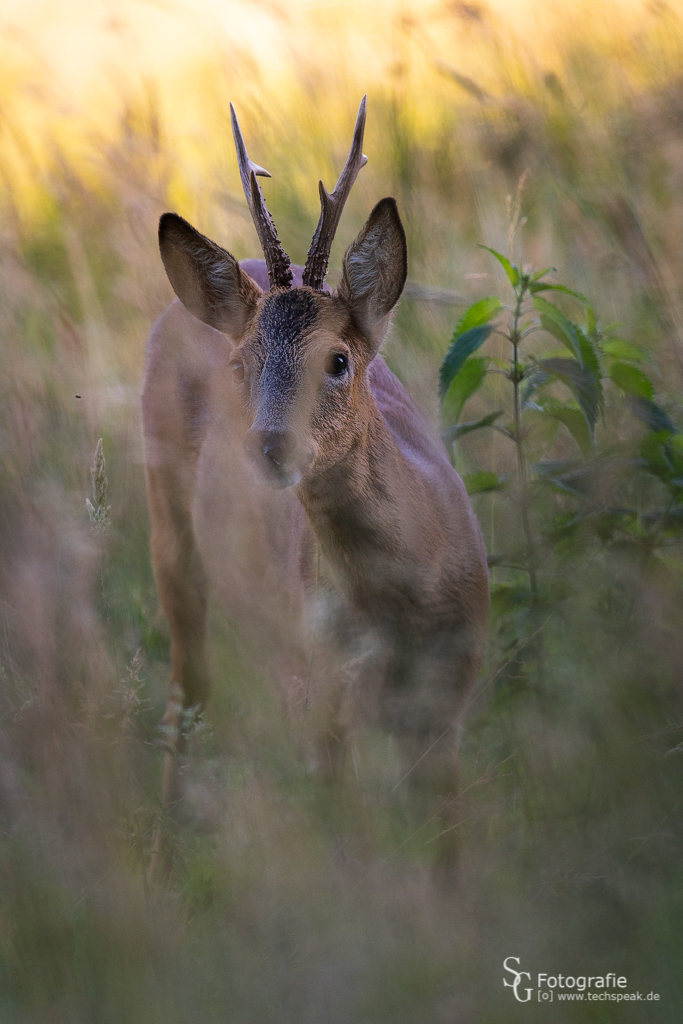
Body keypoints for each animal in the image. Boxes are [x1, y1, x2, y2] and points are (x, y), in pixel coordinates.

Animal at [143, 96, 485, 876]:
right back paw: (163, 867)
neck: (405, 603)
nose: (269, 446)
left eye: (338, 359)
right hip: (170, 537)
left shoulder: (449, 699)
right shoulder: (325, 696)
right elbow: (344, 843)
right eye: (240, 365)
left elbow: (449, 851)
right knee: (185, 697)